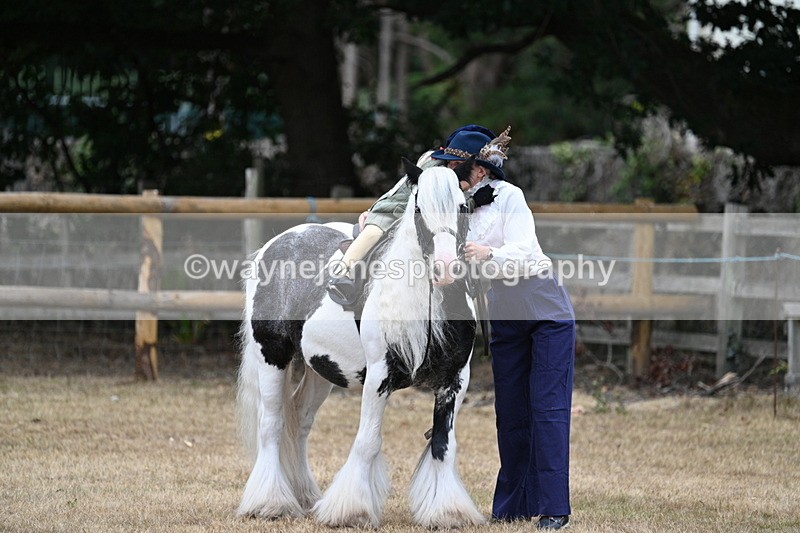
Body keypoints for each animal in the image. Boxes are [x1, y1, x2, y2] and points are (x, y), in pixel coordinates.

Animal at [235, 159, 485, 528]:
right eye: (418, 208)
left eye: (463, 206)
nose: (445, 268)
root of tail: (276, 244)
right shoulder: (379, 377)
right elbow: (368, 442)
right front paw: (351, 510)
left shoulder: (454, 381)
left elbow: (443, 445)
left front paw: (448, 512)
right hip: (272, 356)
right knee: (271, 425)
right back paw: (269, 503)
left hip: (320, 370)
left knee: (300, 421)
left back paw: (305, 495)